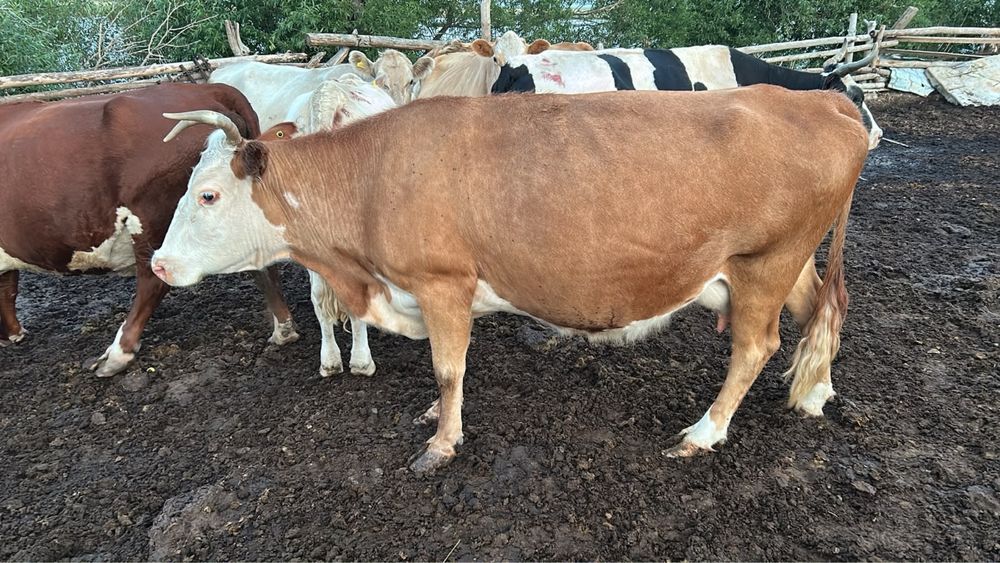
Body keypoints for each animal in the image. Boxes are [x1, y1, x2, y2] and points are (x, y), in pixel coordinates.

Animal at [0, 83, 295, 376]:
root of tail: (210, 88)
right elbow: (8, 287)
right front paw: (12, 333)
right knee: (264, 267)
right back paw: (284, 330)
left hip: (151, 220)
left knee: (153, 281)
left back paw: (117, 354)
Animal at [150, 85, 869, 474]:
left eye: (209, 195)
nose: (157, 261)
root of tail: (819, 97)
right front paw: (434, 417)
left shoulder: (442, 280)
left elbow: (448, 367)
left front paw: (442, 442)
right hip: (782, 263)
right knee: (823, 309)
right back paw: (816, 391)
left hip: (764, 262)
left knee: (756, 346)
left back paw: (703, 433)